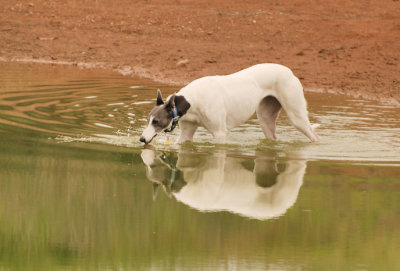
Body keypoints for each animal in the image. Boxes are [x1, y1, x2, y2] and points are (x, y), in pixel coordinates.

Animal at [140, 63, 318, 144]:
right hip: (265, 118)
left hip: (296, 116)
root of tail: (288, 71)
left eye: (156, 121)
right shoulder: (186, 133)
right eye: (147, 120)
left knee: (314, 136)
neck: (191, 100)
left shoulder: (220, 134)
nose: (141, 139)